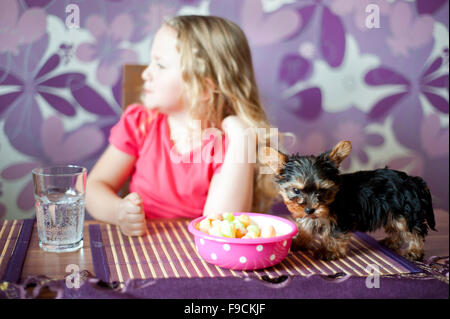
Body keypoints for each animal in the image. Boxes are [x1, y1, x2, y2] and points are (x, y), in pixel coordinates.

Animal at [260, 141, 436, 262]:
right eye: (296, 190)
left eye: (321, 191)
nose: (310, 209)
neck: (331, 202)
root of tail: (413, 181)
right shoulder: (311, 217)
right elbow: (306, 227)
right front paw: (298, 242)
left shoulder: (342, 219)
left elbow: (334, 234)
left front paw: (329, 251)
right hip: (394, 212)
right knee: (398, 230)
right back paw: (391, 242)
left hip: (405, 211)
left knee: (413, 231)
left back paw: (414, 251)